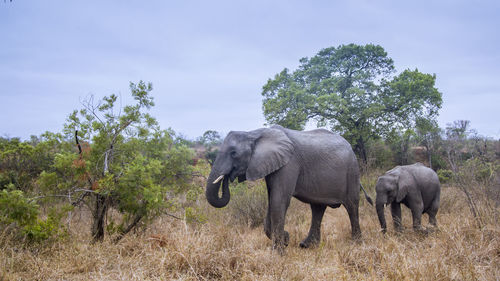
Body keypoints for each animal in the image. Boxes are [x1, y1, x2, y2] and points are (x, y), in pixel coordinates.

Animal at [205, 124, 374, 252]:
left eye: (234, 153)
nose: (228, 177)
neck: (255, 133)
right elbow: (272, 200)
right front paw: (284, 240)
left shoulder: (289, 163)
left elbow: (279, 200)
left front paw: (279, 251)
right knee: (317, 208)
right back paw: (306, 245)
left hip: (352, 171)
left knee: (351, 206)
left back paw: (356, 243)